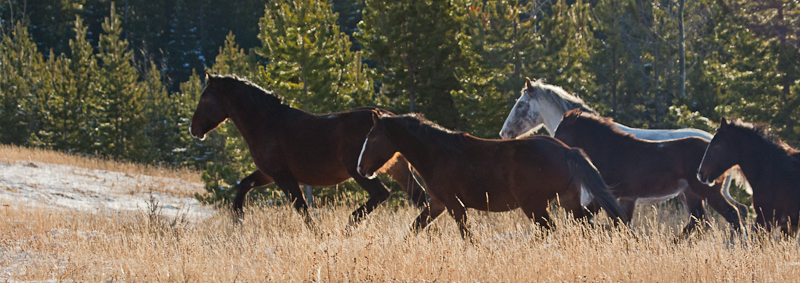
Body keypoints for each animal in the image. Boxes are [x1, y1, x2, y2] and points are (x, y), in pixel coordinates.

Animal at [188, 74, 428, 227]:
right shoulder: (268, 174)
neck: (267, 123)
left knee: (381, 194)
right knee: (421, 199)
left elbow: (302, 209)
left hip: (360, 170)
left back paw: (350, 225)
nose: (193, 128)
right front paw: (238, 219)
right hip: (397, 168)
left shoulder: (283, 176)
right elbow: (243, 185)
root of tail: (386, 117)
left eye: (204, 97)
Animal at [356, 111, 624, 240]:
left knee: (548, 230)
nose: (360, 168)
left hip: (535, 205)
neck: (437, 153)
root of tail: (567, 150)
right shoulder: (438, 203)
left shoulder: (454, 204)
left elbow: (467, 235)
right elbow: (414, 228)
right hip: (567, 201)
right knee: (584, 227)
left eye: (371, 136)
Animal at [552, 110, 748, 239]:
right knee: (700, 221)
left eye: (559, 132)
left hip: (708, 191)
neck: (612, 150)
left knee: (732, 214)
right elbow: (618, 222)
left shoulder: (611, 195)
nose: (554, 145)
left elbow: (610, 221)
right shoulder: (625, 198)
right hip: (691, 193)